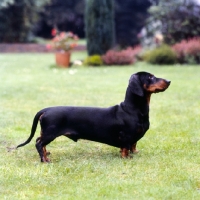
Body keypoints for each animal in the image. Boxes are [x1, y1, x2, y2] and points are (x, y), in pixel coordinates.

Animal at [15, 72, 170, 162]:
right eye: (150, 77)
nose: (169, 81)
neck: (131, 109)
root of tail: (46, 109)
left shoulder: (133, 138)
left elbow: (134, 144)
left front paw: (135, 153)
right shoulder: (126, 136)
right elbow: (126, 147)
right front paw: (126, 158)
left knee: (40, 142)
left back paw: (47, 154)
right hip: (50, 133)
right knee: (39, 143)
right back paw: (45, 160)